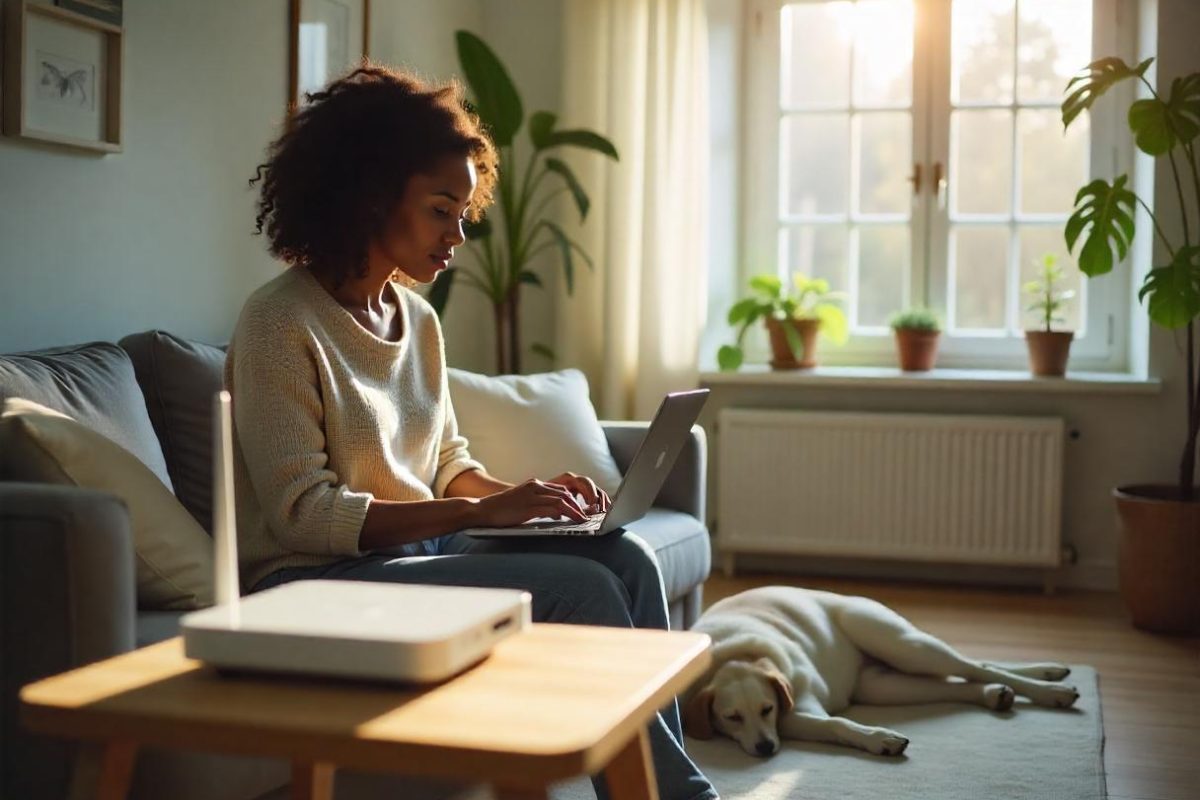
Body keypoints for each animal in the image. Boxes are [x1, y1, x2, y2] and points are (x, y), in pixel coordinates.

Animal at [681, 585, 1084, 762]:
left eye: (766, 709)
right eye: (732, 717)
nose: (766, 747)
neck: (735, 654)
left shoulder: (792, 707)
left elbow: (837, 723)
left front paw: (878, 737)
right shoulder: (792, 716)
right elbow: (832, 726)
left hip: (901, 643)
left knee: (970, 665)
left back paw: (1050, 686)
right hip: (885, 684)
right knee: (961, 683)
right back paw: (995, 693)